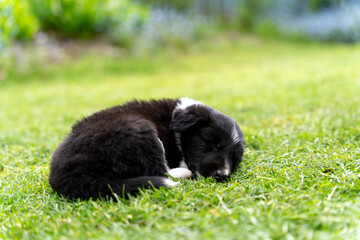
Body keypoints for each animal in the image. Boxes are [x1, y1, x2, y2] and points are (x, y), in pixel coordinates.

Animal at [48, 97, 245, 199]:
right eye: (212, 144)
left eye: (235, 159)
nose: (222, 175)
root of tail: (64, 174)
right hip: (137, 127)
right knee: (159, 172)